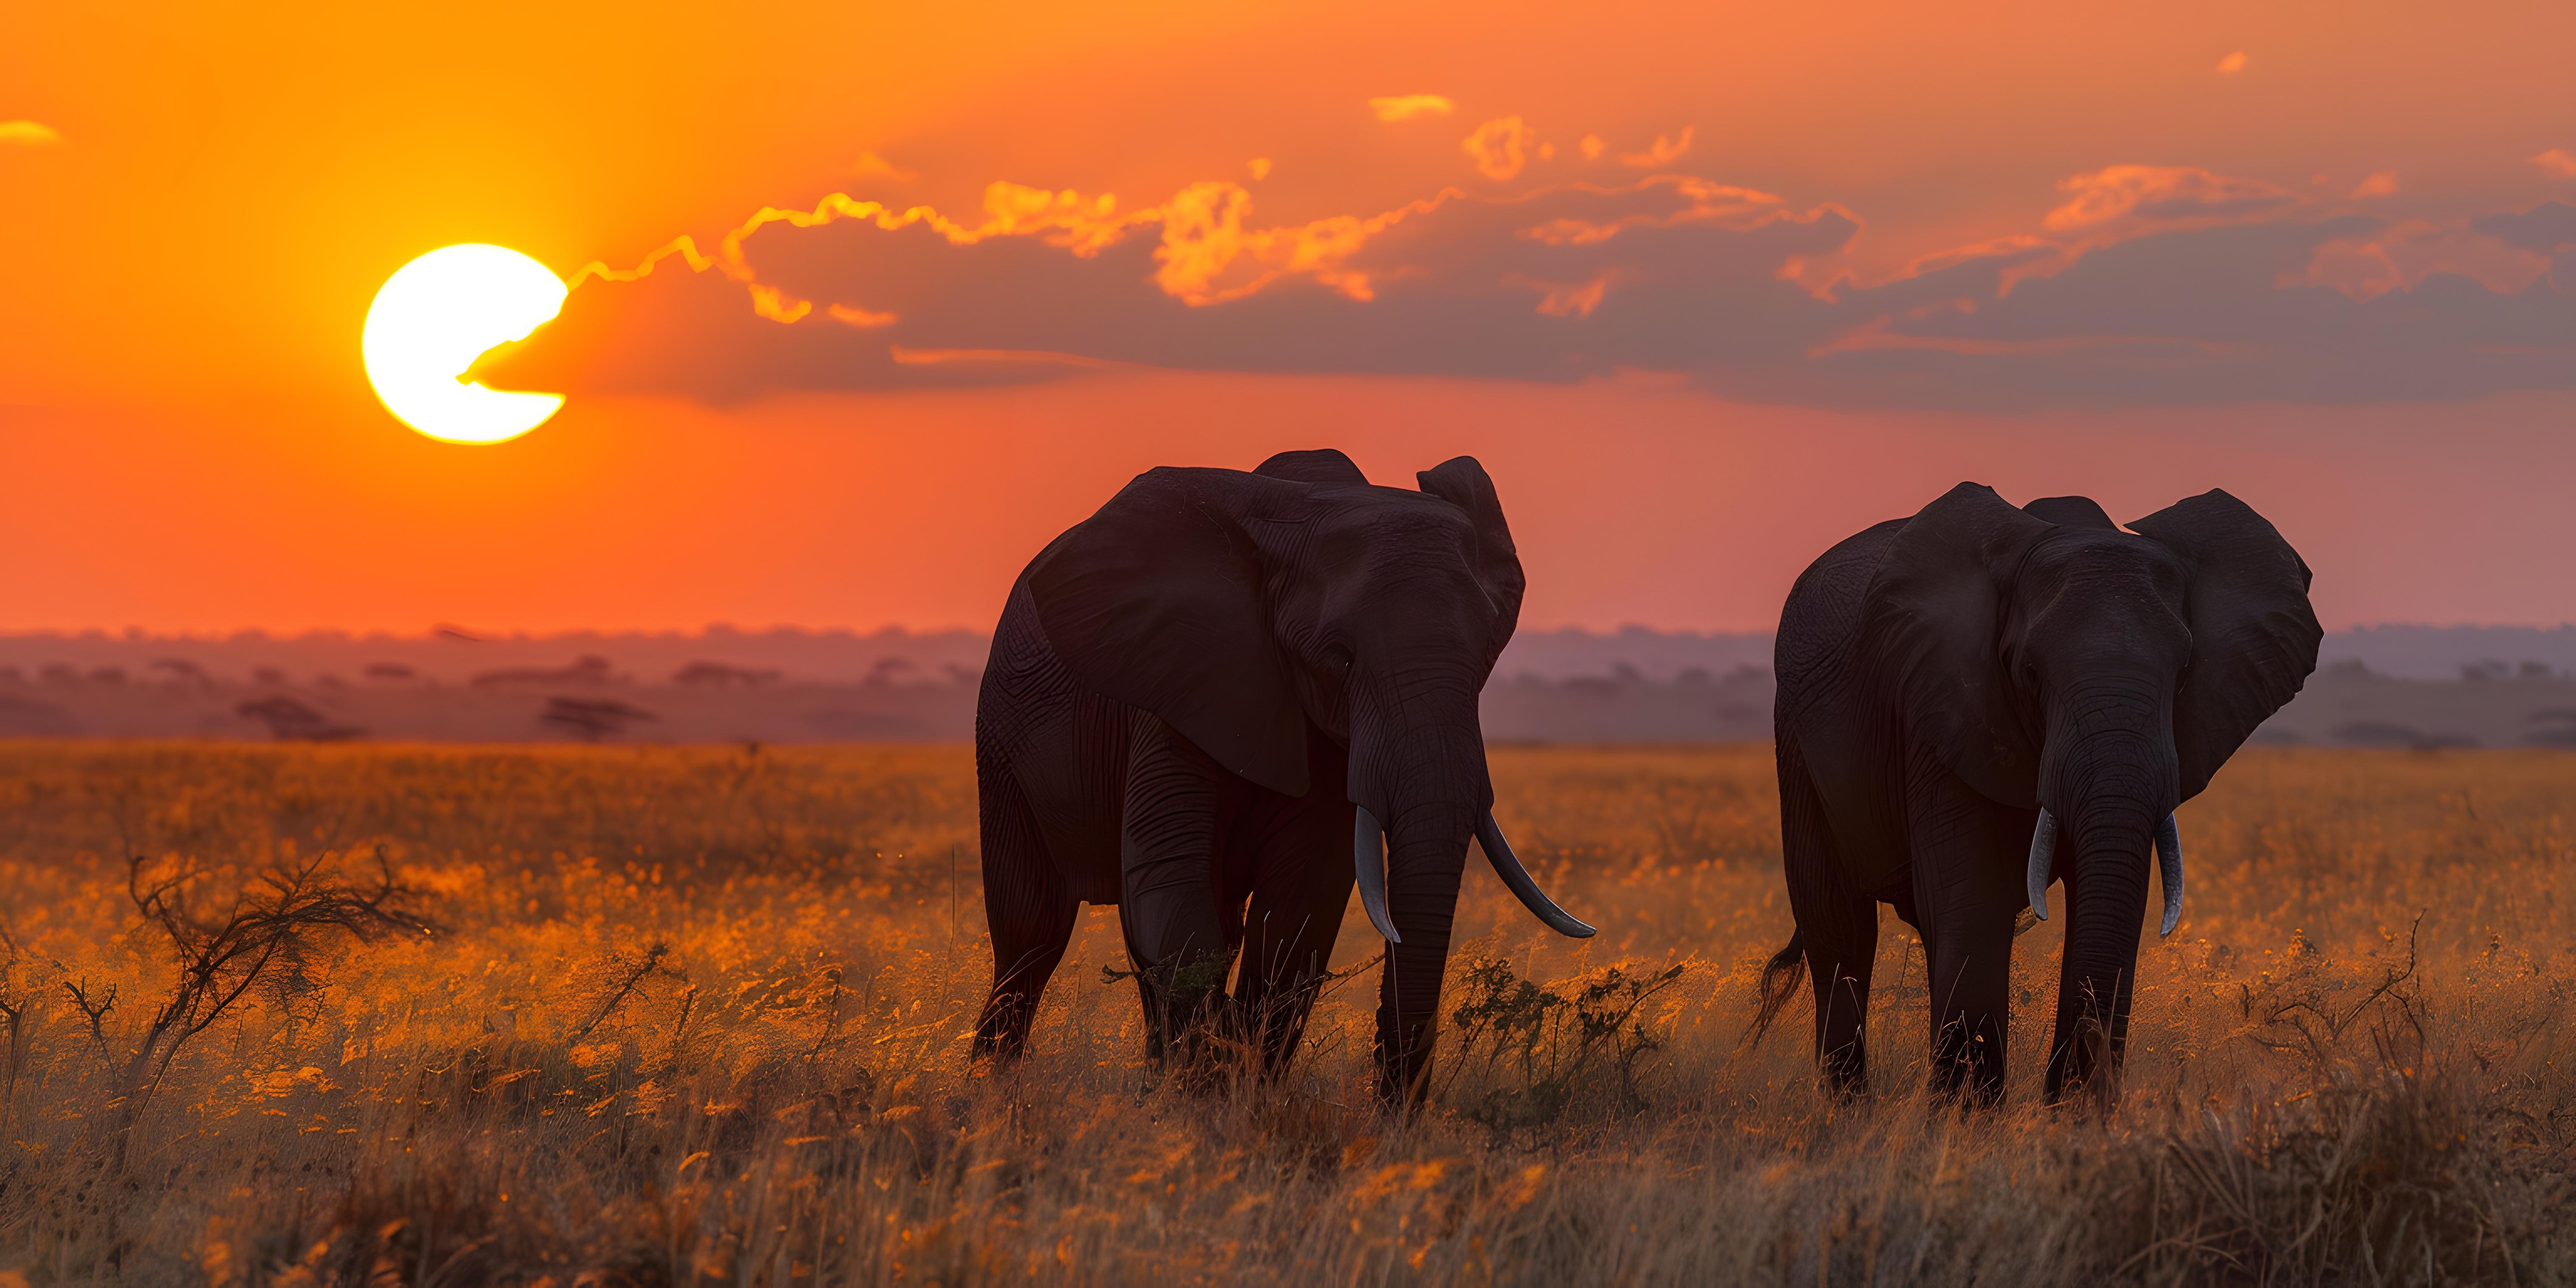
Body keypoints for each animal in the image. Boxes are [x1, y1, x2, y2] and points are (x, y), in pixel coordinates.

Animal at [970, 448, 1593, 1104]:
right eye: (1339, 658)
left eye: (1486, 657)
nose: (1388, 1113)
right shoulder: (1174, 684)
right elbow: (1167, 884)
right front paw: (1212, 1095)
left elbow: (1301, 905)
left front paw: (1237, 1095)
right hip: (1000, 741)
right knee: (1030, 934)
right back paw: (993, 1088)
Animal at [1760, 482, 2319, 1104]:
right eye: (2029, 674)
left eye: (2181, 678)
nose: (2076, 1093)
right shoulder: (1942, 708)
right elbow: (1975, 901)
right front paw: (1966, 1121)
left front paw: (2070, 1116)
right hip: (1795, 742)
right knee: (1840, 930)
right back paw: (1849, 1111)